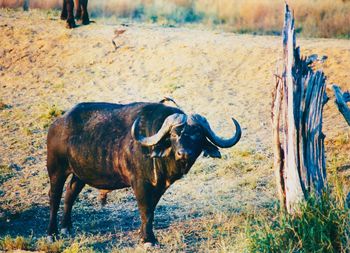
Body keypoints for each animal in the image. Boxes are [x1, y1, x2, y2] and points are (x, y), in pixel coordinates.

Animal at [46, 101, 241, 245]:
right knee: (54, 197)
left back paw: (66, 227)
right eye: (174, 134)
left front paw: (144, 234)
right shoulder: (140, 183)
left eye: (197, 134)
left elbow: (151, 210)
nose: (184, 153)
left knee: (70, 193)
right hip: (56, 169)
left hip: (80, 173)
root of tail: (58, 123)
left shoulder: (159, 187)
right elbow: (145, 209)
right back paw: (52, 233)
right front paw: (148, 240)